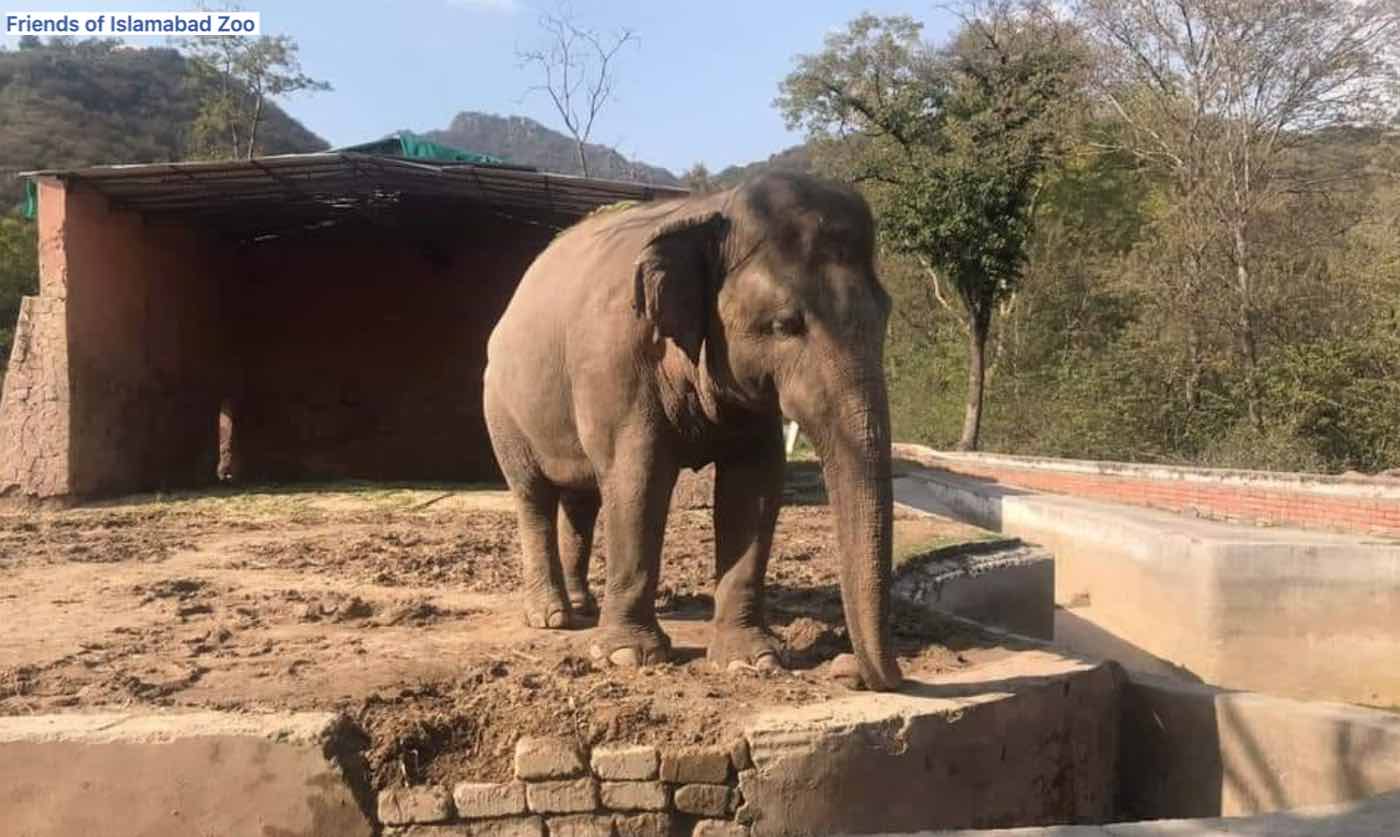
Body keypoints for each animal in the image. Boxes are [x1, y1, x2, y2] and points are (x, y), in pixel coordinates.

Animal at [482, 171, 902, 691]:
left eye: (885, 313)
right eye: (785, 325)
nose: (855, 672)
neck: (710, 211)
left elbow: (754, 487)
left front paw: (751, 661)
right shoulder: (616, 365)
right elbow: (639, 479)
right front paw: (628, 657)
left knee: (582, 499)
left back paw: (583, 606)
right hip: (501, 409)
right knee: (533, 495)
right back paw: (552, 618)